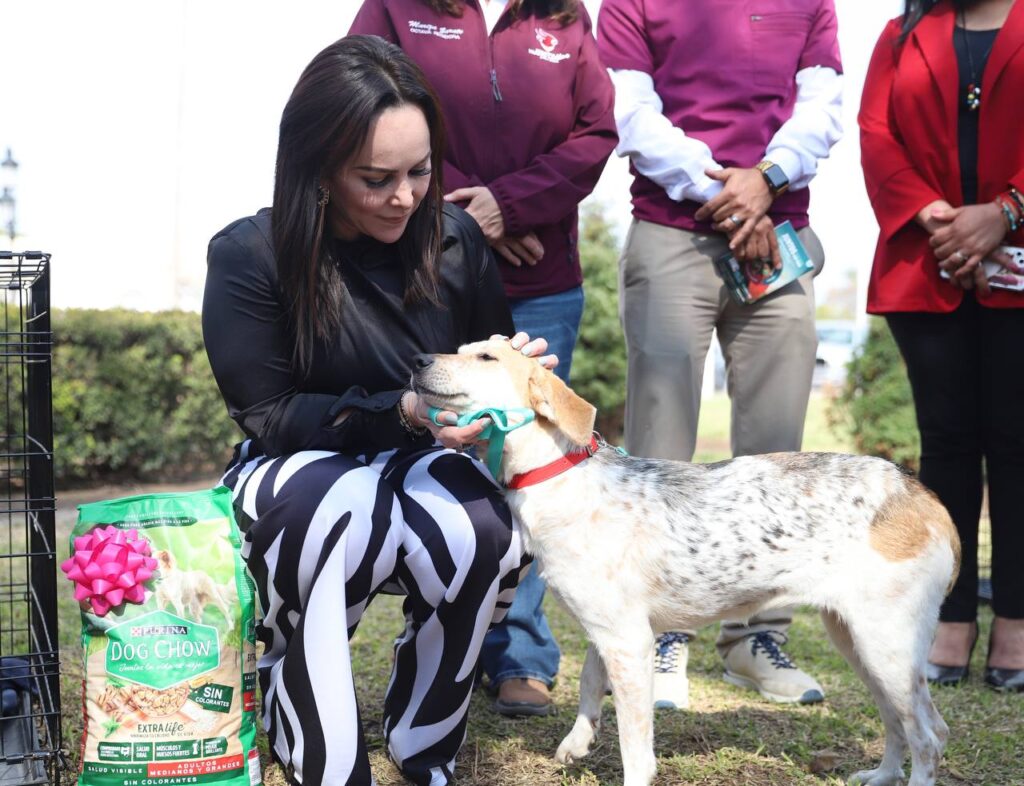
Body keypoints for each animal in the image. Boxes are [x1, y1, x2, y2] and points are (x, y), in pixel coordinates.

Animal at [407, 339, 958, 786]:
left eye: (486, 357)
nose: (416, 360)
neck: (559, 475)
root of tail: (919, 492)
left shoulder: (629, 642)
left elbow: (635, 745)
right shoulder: (608, 632)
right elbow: (589, 685)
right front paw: (578, 741)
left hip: (886, 647)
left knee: (929, 736)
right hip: (858, 644)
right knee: (898, 724)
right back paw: (883, 775)